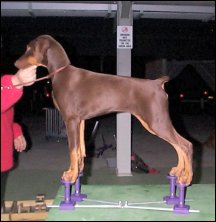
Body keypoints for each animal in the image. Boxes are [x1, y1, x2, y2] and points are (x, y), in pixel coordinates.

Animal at [15, 34, 193, 186]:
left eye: (29, 48)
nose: (15, 64)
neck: (61, 73)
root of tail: (157, 83)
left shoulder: (70, 119)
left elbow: (72, 150)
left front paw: (71, 176)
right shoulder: (80, 121)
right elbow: (80, 150)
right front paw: (78, 171)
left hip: (156, 121)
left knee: (186, 145)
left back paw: (186, 178)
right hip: (154, 122)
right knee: (179, 145)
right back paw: (178, 171)